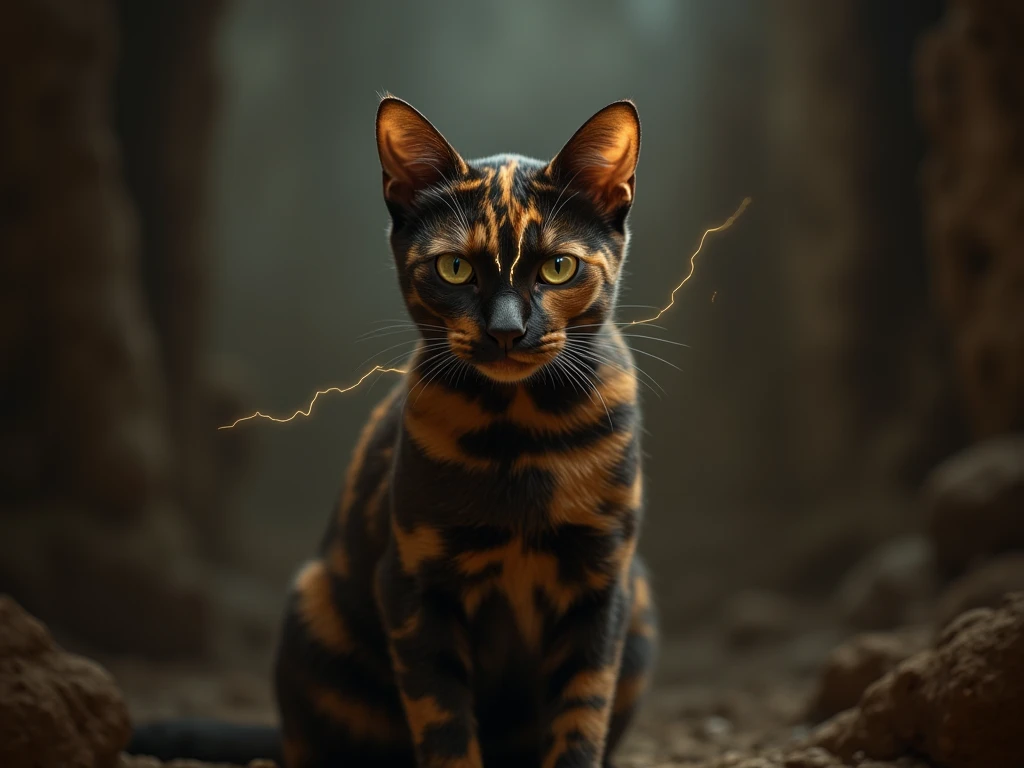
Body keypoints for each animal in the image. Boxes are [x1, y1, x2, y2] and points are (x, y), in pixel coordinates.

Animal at [130, 96, 655, 768]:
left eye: (559, 267)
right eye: (454, 268)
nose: (507, 330)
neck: (521, 437)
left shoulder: (601, 584)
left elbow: (581, 718)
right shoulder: (413, 583)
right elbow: (444, 723)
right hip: (314, 611)